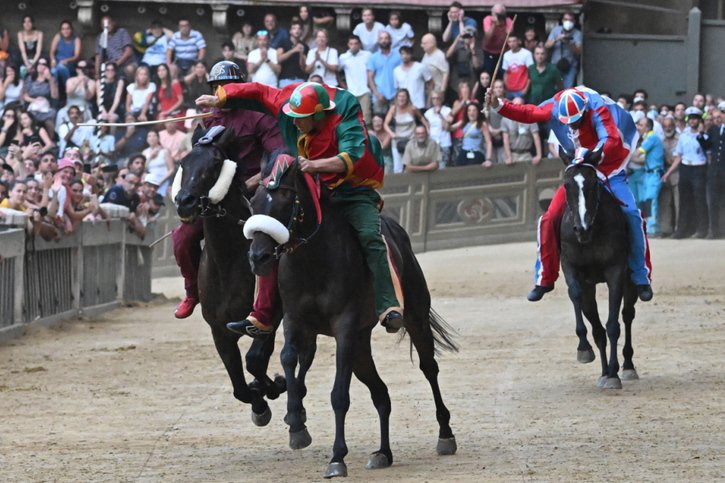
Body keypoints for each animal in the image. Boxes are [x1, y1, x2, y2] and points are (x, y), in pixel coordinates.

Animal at [173, 126, 286, 426]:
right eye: (184, 162)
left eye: (214, 163)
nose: (185, 201)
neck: (229, 262)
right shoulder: (219, 330)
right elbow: (239, 387)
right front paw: (259, 402)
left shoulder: (268, 316)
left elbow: (255, 359)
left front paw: (274, 385)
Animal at [243, 158, 458, 480]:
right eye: (254, 201)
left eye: (285, 198)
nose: (258, 256)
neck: (314, 260)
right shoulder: (296, 320)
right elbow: (288, 358)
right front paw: (296, 424)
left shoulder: (344, 328)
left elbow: (339, 395)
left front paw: (337, 457)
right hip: (361, 345)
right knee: (381, 393)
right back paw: (383, 453)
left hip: (414, 316)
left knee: (428, 368)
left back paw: (445, 433)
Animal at [560, 149, 640, 392]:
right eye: (566, 184)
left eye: (594, 182)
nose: (582, 228)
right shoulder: (571, 267)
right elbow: (577, 296)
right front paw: (584, 349)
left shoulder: (616, 271)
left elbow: (613, 324)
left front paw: (614, 374)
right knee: (597, 327)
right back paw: (604, 372)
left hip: (631, 282)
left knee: (627, 315)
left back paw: (626, 366)